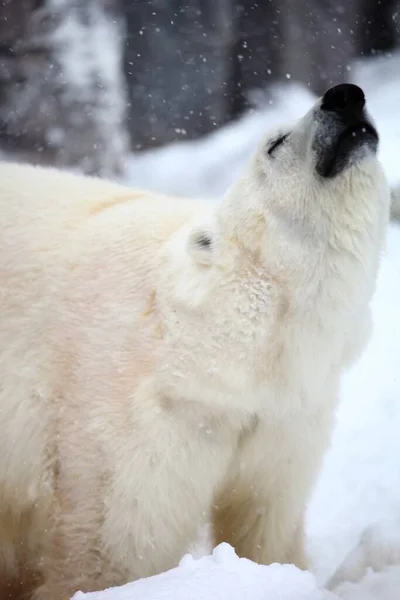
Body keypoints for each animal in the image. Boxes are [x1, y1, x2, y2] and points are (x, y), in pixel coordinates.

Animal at [0, 84, 390, 600]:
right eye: (275, 143)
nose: (345, 96)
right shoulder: (140, 421)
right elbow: (110, 547)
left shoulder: (283, 419)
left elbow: (265, 518)